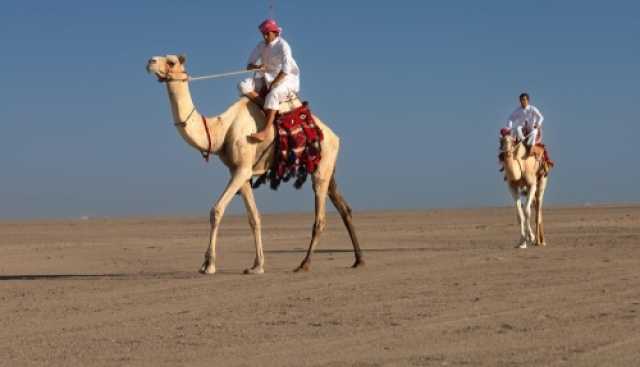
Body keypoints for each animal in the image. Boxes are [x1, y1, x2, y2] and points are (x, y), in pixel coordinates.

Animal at [146, 54, 364, 274]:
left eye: (171, 61)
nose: (150, 61)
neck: (221, 130)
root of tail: (334, 136)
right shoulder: (239, 172)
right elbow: (254, 217)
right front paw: (257, 265)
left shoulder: (242, 169)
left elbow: (216, 210)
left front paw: (209, 265)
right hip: (327, 168)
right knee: (344, 207)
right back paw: (358, 260)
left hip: (322, 167)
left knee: (320, 219)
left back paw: (304, 264)